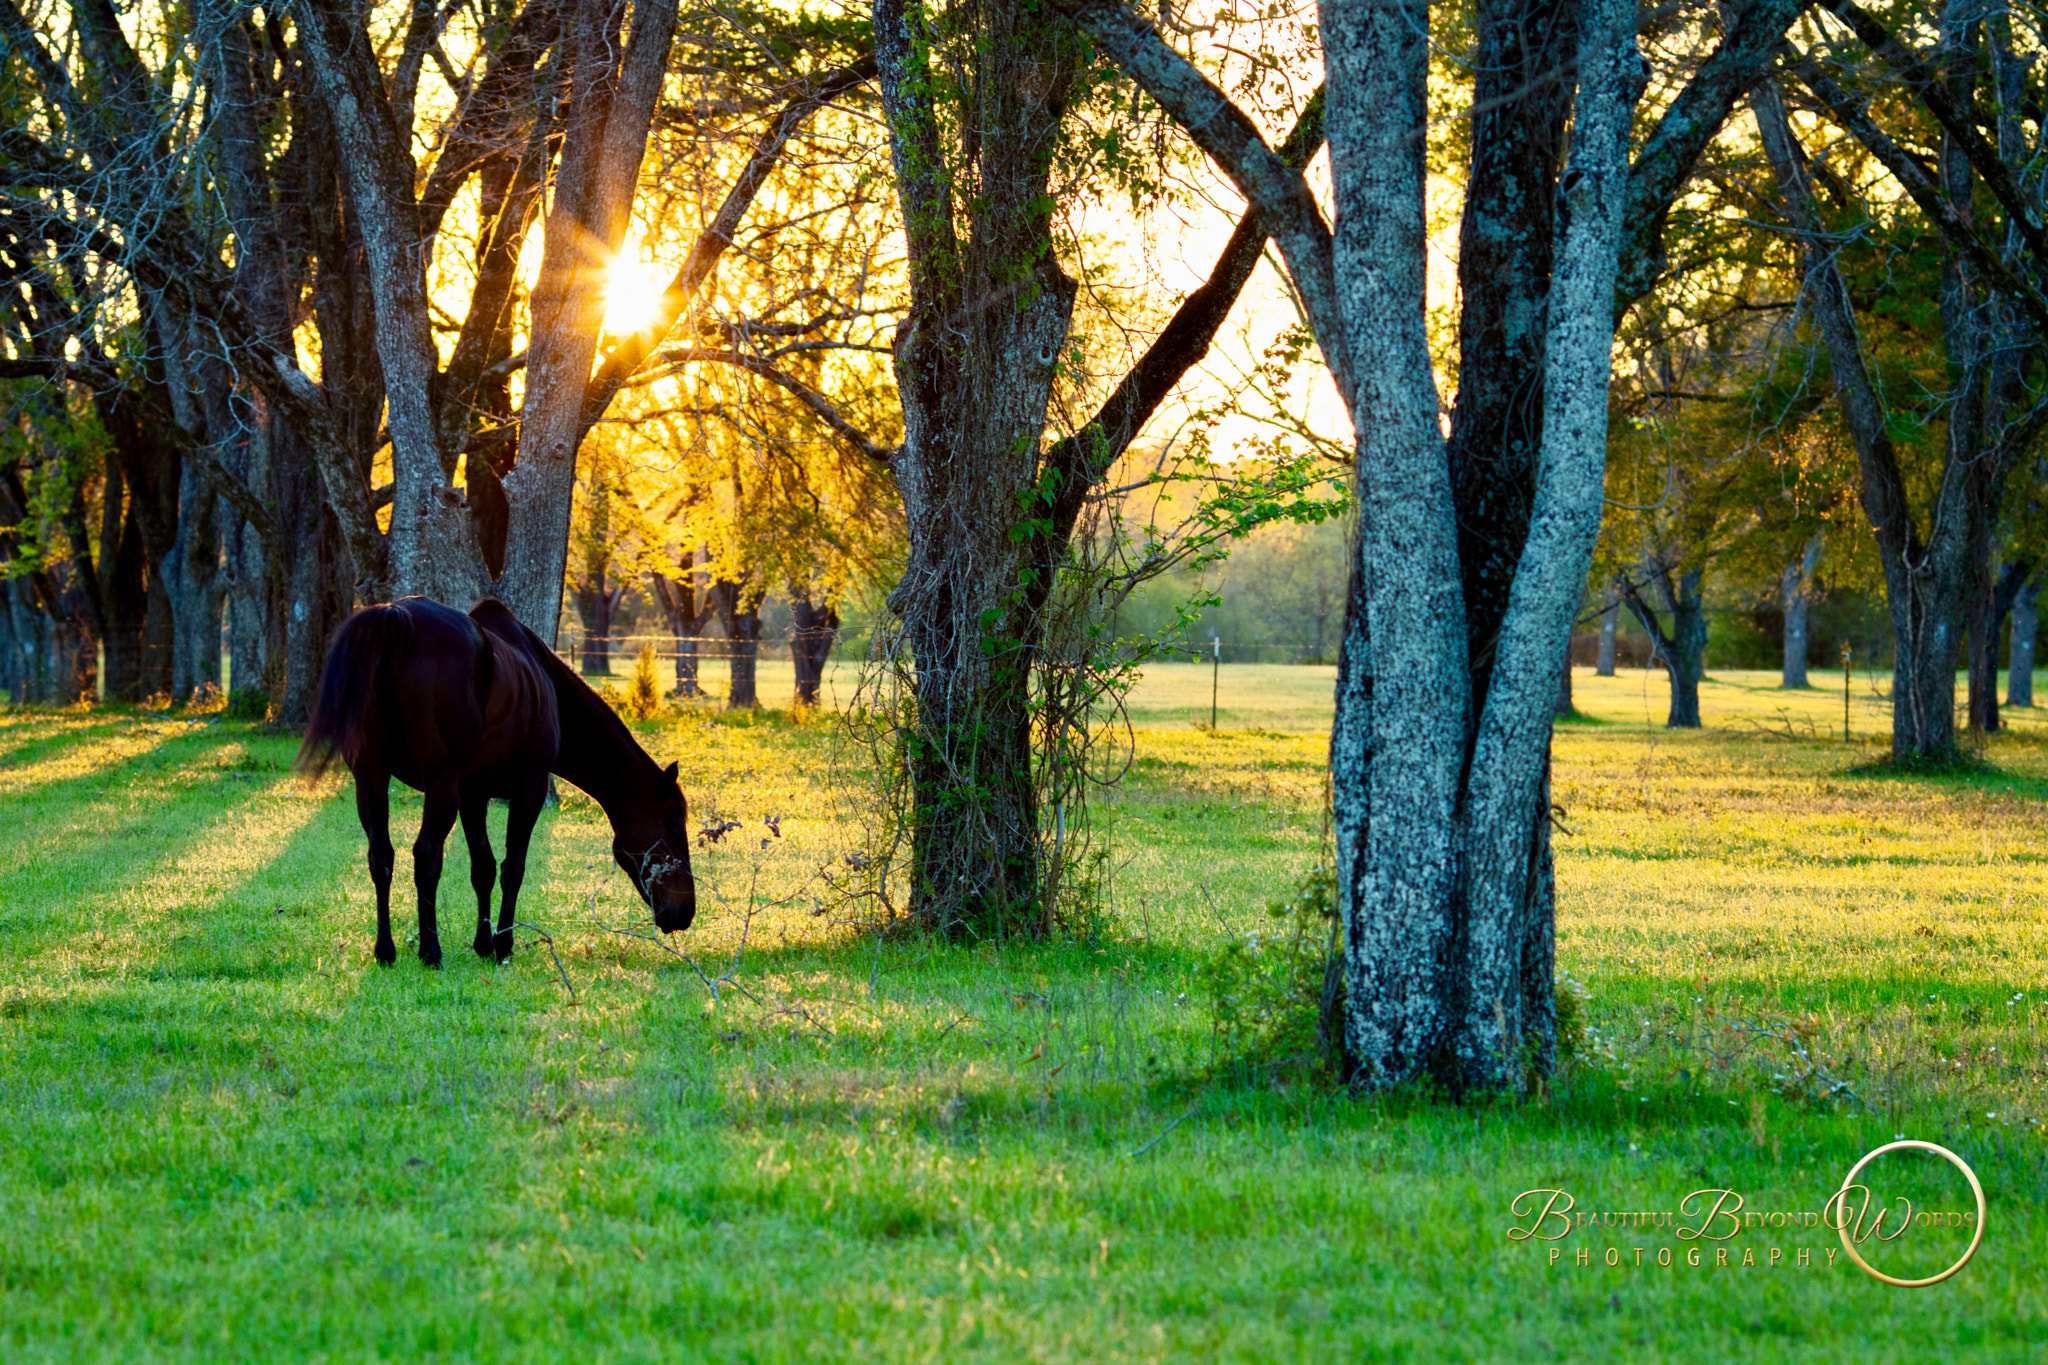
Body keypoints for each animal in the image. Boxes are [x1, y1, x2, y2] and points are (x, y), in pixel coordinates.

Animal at [296, 601, 696, 970]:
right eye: (675, 828)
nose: (685, 912)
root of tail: (396, 616)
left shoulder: (473, 793)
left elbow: (483, 868)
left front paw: (483, 943)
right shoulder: (529, 788)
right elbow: (512, 868)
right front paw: (503, 945)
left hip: (371, 777)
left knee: (381, 855)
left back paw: (385, 951)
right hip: (439, 783)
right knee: (426, 855)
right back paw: (430, 951)